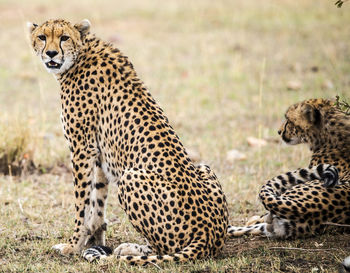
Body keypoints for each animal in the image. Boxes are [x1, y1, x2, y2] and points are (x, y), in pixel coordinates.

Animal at [28, 19, 230, 264]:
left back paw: (130, 250)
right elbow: (97, 200)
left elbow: (81, 204)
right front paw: (94, 240)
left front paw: (73, 246)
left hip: (130, 177)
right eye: (42, 37)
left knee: (163, 249)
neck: (80, 55)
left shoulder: (81, 149)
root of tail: (210, 233)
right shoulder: (99, 153)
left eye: (64, 37)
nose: (51, 53)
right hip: (204, 167)